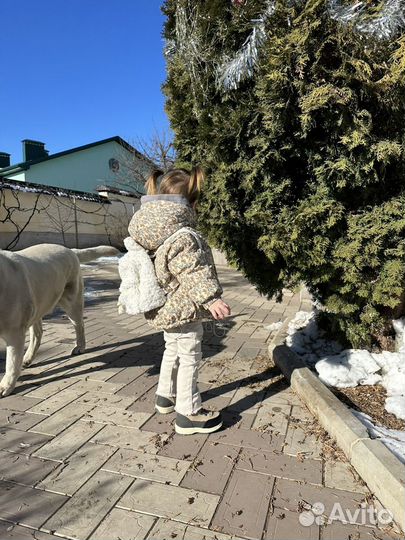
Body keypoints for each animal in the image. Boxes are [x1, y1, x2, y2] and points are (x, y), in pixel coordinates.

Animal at [0, 245, 119, 396]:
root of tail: (70, 250)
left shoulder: (14, 333)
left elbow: (12, 363)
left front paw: (6, 386)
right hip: (38, 304)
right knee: (37, 334)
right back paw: (28, 358)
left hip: (71, 302)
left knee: (79, 325)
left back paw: (80, 347)